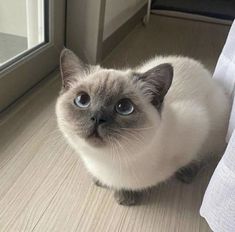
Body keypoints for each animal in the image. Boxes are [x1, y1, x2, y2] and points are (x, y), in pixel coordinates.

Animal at [56, 48, 229, 206]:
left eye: (124, 107)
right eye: (82, 100)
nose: (98, 118)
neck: (106, 159)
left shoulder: (198, 125)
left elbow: (196, 155)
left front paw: (126, 196)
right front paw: (102, 182)